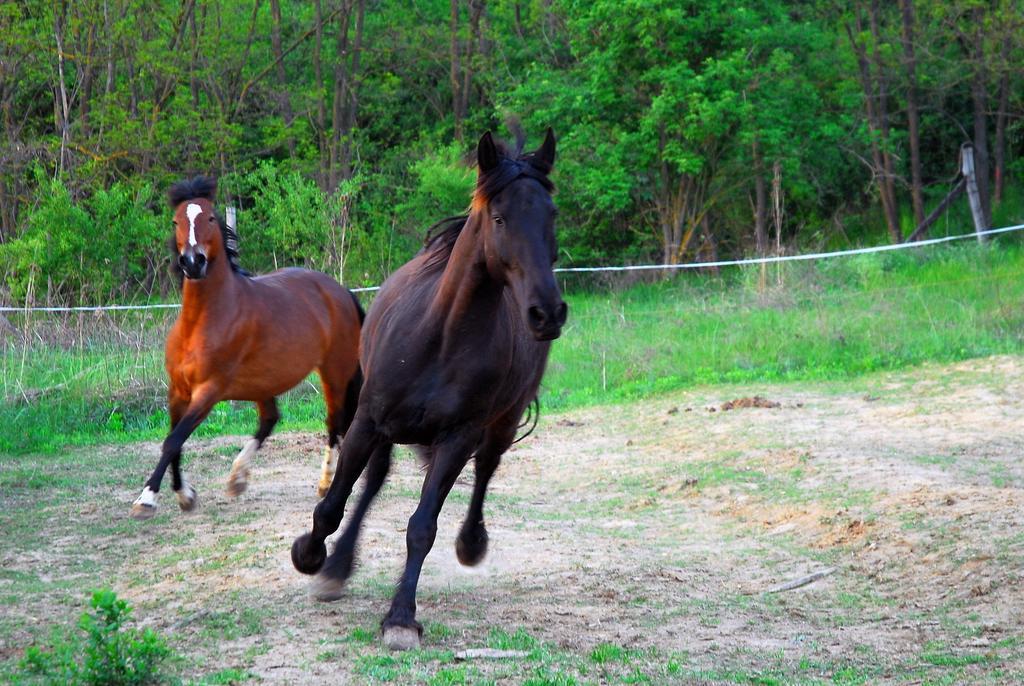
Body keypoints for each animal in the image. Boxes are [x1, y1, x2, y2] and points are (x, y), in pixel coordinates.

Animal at [131, 177, 364, 522]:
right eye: (175, 221)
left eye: (210, 218)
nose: (193, 262)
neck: (201, 323)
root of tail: (340, 291)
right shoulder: (178, 390)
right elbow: (175, 440)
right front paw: (185, 495)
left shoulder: (209, 391)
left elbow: (173, 440)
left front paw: (147, 499)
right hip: (264, 382)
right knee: (270, 420)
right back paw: (237, 478)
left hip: (334, 373)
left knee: (334, 424)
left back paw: (324, 485)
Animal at [290, 129, 569, 651]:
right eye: (499, 217)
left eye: (551, 216)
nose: (547, 313)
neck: (440, 339)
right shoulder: (368, 420)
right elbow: (332, 505)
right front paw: (310, 555)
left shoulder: (457, 438)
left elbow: (422, 527)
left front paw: (400, 617)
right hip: (381, 427)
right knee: (372, 482)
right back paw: (337, 566)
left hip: (500, 423)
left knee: (486, 470)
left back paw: (471, 543)